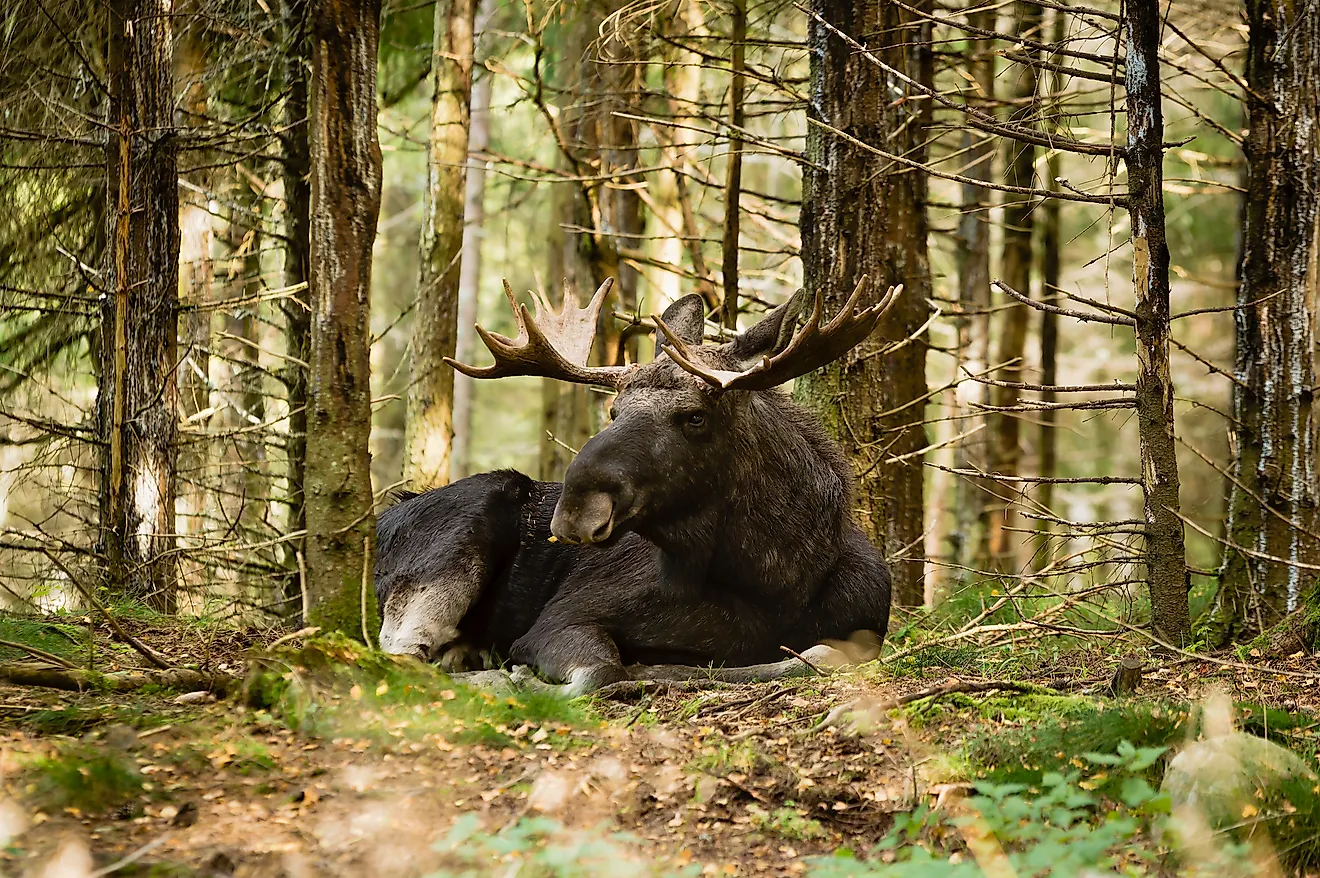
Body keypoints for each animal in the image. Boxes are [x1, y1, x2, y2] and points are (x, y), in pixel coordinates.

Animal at [377, 277, 902, 697]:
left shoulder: (865, 627)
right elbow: (603, 671)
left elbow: (816, 657)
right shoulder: (561, 618)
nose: (575, 510)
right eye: (614, 410)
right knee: (402, 654)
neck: (776, 580)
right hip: (454, 546)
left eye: (696, 417)